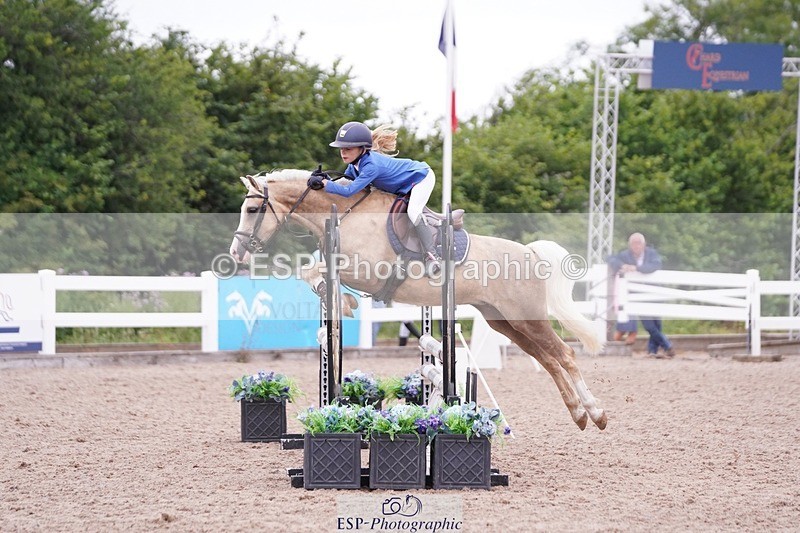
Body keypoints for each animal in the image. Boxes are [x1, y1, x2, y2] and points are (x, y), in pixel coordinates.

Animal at [228, 169, 608, 431]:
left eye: (252, 208)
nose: (236, 252)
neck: (345, 214)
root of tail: (529, 253)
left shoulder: (366, 270)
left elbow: (314, 271)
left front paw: (345, 303)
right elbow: (313, 274)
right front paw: (341, 302)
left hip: (527, 317)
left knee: (565, 354)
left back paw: (597, 413)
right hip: (504, 322)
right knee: (548, 360)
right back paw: (578, 414)